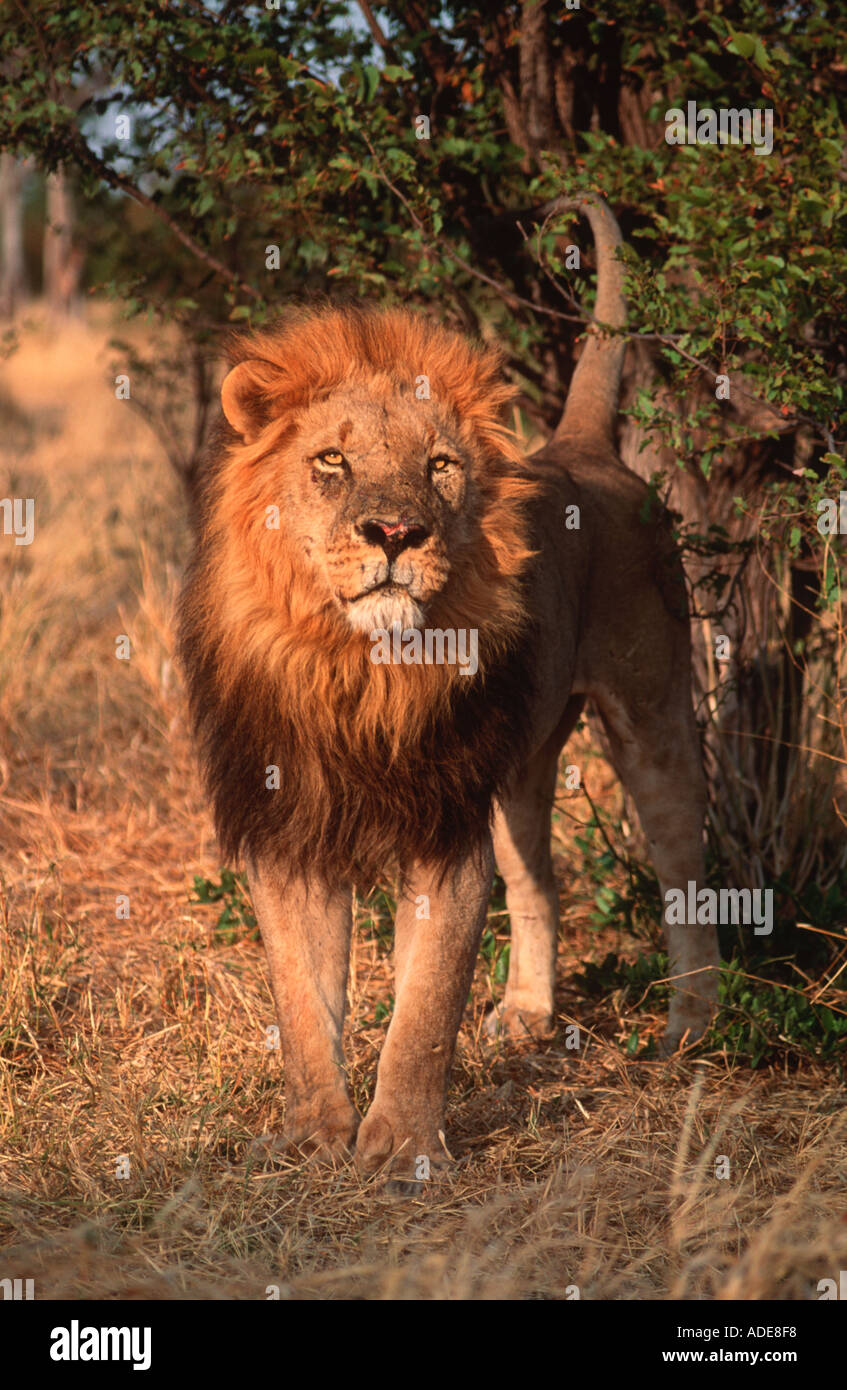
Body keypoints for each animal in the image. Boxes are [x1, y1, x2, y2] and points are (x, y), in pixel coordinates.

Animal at [179, 195, 717, 1184]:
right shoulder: (290, 827)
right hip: (516, 765)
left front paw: (399, 1147)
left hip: (651, 712)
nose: (396, 532)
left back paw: (694, 1026)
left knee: (682, 867)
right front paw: (312, 1137)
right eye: (331, 462)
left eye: (438, 466)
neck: (356, 668)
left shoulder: (441, 830)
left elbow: (424, 1009)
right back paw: (529, 1014)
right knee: (537, 877)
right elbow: (302, 1005)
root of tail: (582, 444)